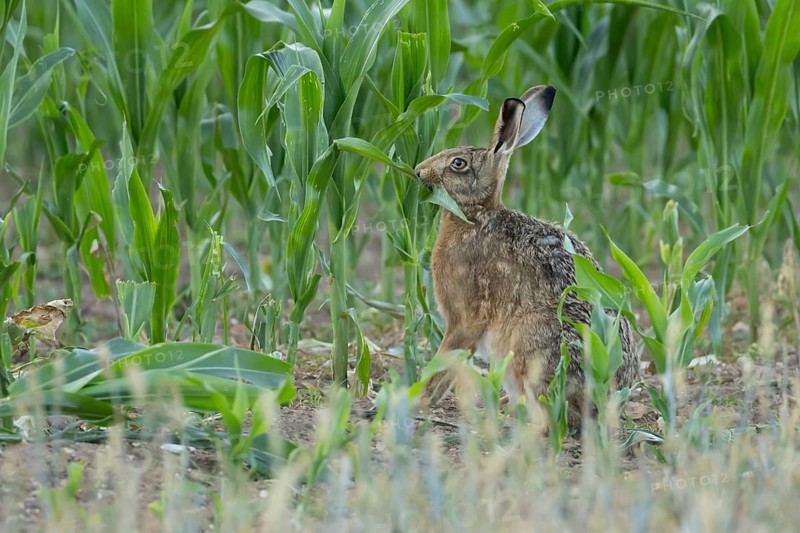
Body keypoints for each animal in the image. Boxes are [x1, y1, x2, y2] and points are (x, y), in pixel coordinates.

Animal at [414, 85, 639, 430]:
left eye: (458, 163)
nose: (418, 171)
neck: (476, 216)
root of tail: (604, 398)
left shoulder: (463, 319)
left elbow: (446, 358)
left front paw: (419, 400)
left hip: (530, 347)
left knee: (551, 420)